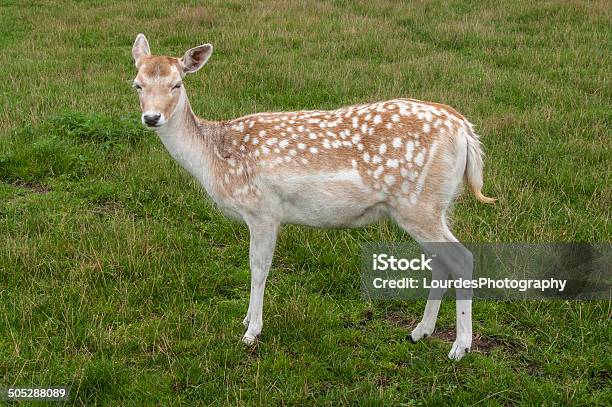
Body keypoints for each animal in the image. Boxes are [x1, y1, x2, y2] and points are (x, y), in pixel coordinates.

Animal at [131, 34, 494, 360]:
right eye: (137, 84)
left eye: (177, 84)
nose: (152, 118)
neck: (214, 161)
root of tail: (465, 130)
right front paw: (247, 320)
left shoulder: (262, 209)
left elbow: (258, 267)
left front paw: (251, 331)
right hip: (431, 205)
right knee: (440, 260)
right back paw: (420, 331)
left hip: (419, 203)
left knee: (462, 257)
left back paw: (459, 347)